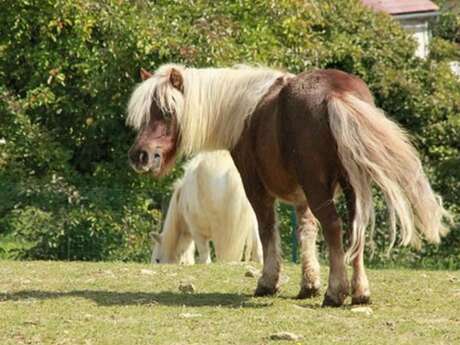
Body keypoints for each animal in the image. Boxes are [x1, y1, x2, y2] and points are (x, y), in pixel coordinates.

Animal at [125, 64, 450, 306]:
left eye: (167, 111)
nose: (141, 156)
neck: (247, 111)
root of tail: (336, 94)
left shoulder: (257, 191)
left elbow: (268, 232)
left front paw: (269, 282)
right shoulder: (302, 197)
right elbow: (306, 232)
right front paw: (309, 284)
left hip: (320, 188)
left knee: (334, 226)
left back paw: (336, 293)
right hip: (352, 187)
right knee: (354, 229)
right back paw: (360, 292)